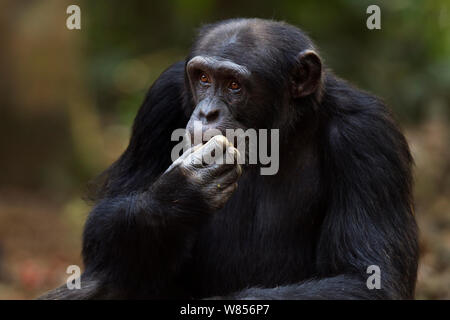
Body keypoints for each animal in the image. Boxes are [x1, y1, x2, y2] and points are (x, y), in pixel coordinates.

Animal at [41, 18, 418, 300]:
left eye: (234, 85)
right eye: (203, 78)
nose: (207, 112)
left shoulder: (368, 135)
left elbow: (366, 276)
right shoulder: (159, 100)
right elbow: (102, 229)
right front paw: (180, 193)